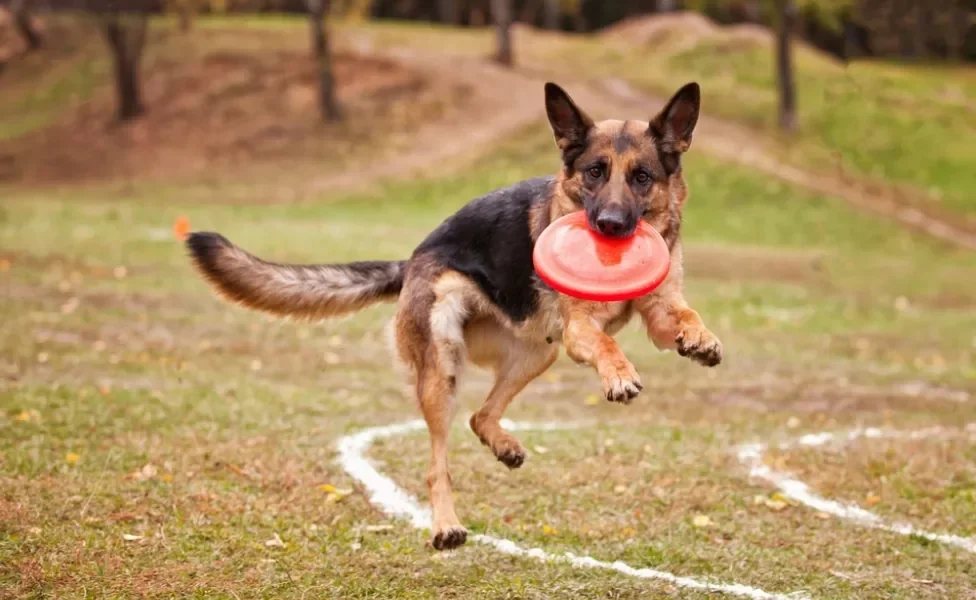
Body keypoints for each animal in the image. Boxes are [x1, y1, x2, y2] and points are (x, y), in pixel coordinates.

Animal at [187, 82, 724, 552]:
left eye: (641, 177)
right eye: (595, 171)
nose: (609, 226)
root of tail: (411, 261)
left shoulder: (658, 312)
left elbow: (684, 313)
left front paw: (701, 340)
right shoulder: (578, 329)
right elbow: (607, 343)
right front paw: (618, 374)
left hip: (536, 355)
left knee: (479, 415)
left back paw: (503, 445)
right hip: (443, 364)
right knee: (438, 460)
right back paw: (445, 525)